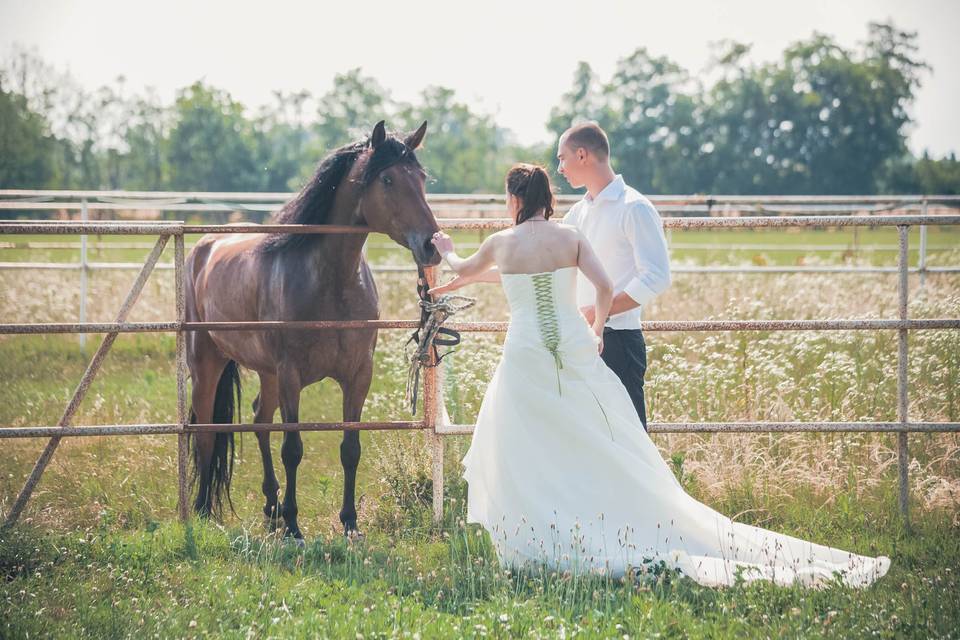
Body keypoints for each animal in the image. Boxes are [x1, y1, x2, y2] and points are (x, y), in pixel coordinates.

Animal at [183, 121, 438, 540]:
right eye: (387, 179)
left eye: (421, 178)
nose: (431, 244)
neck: (331, 280)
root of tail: (205, 246)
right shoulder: (291, 374)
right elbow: (293, 448)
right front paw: (293, 526)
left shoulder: (358, 375)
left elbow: (350, 448)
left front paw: (349, 522)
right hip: (207, 361)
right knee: (205, 432)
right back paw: (205, 509)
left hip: (266, 372)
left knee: (259, 420)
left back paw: (270, 505)